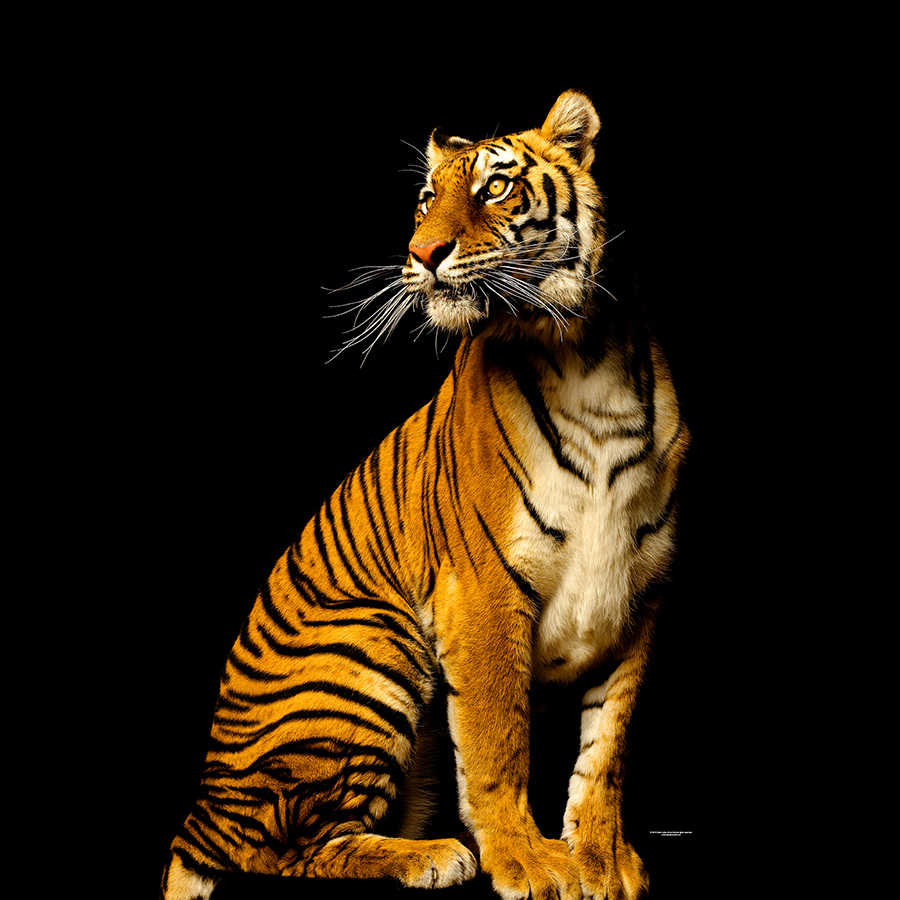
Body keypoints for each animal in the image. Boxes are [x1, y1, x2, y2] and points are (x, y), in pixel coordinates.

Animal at [162, 90, 689, 900]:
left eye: (496, 187)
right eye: (424, 200)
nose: (421, 254)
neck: (582, 354)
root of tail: (205, 805)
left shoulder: (638, 595)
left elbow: (607, 747)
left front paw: (601, 858)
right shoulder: (483, 589)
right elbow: (499, 740)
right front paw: (529, 861)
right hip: (375, 643)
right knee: (285, 852)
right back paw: (429, 856)